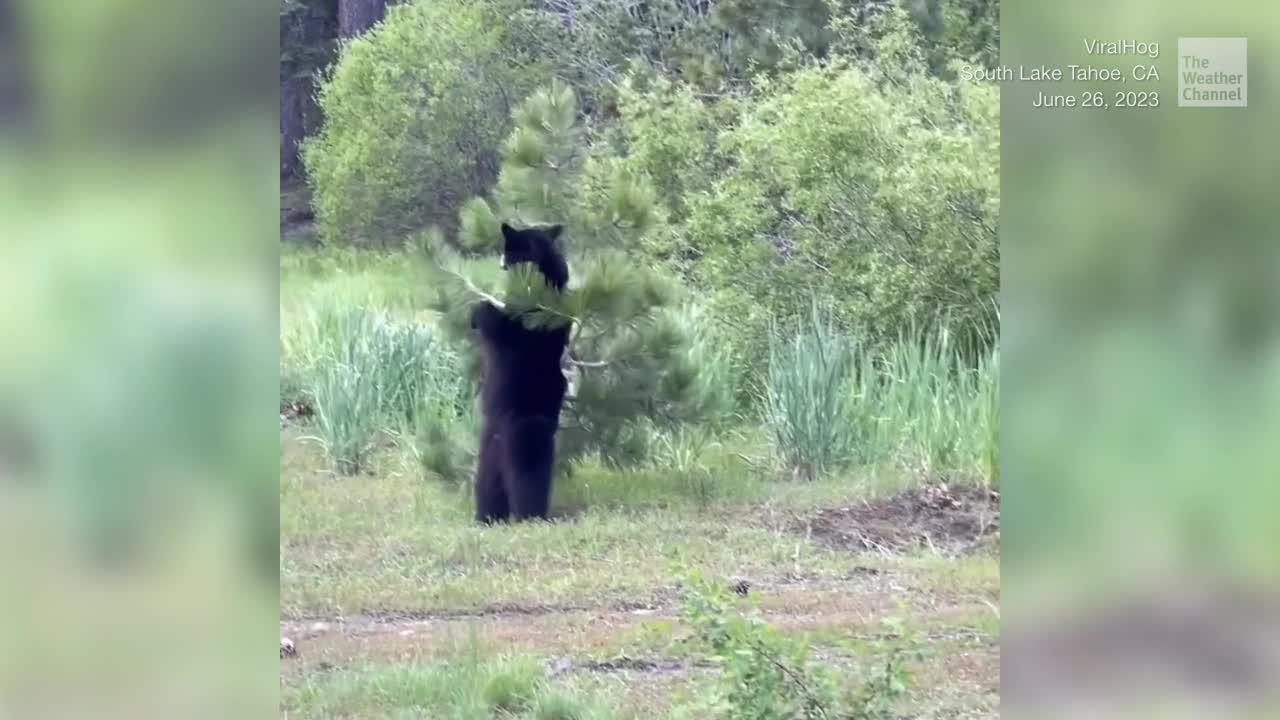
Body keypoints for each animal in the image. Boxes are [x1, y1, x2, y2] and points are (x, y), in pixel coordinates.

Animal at [470, 222, 571, 524]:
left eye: (508, 256)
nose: (500, 266)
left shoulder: (530, 324)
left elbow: (503, 331)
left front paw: (479, 310)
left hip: (524, 429)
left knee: (528, 473)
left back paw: (529, 514)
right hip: (490, 444)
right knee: (488, 482)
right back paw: (487, 516)